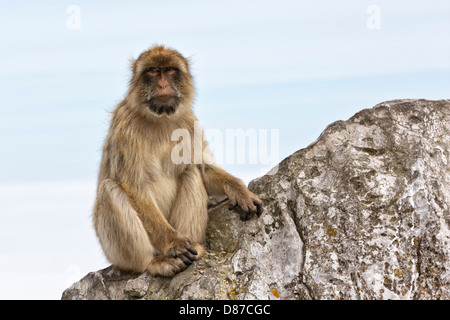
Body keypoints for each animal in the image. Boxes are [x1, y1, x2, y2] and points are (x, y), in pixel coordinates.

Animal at [93, 43, 262, 276]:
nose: (163, 84)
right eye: (153, 71)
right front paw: (174, 242)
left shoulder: (190, 123)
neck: (161, 119)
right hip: (115, 251)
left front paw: (239, 191)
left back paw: (196, 248)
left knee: (190, 173)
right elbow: (134, 186)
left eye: (170, 70)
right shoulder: (125, 126)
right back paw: (154, 262)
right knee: (110, 189)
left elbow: (202, 167)